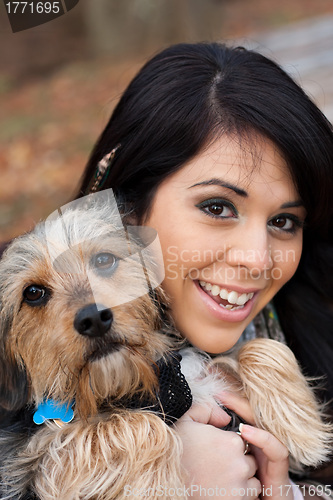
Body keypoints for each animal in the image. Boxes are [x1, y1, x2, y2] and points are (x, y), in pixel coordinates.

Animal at [0, 193, 330, 498]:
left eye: (104, 260)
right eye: (33, 293)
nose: (93, 318)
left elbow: (258, 347)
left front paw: (303, 430)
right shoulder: (32, 460)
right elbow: (139, 426)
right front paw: (157, 489)